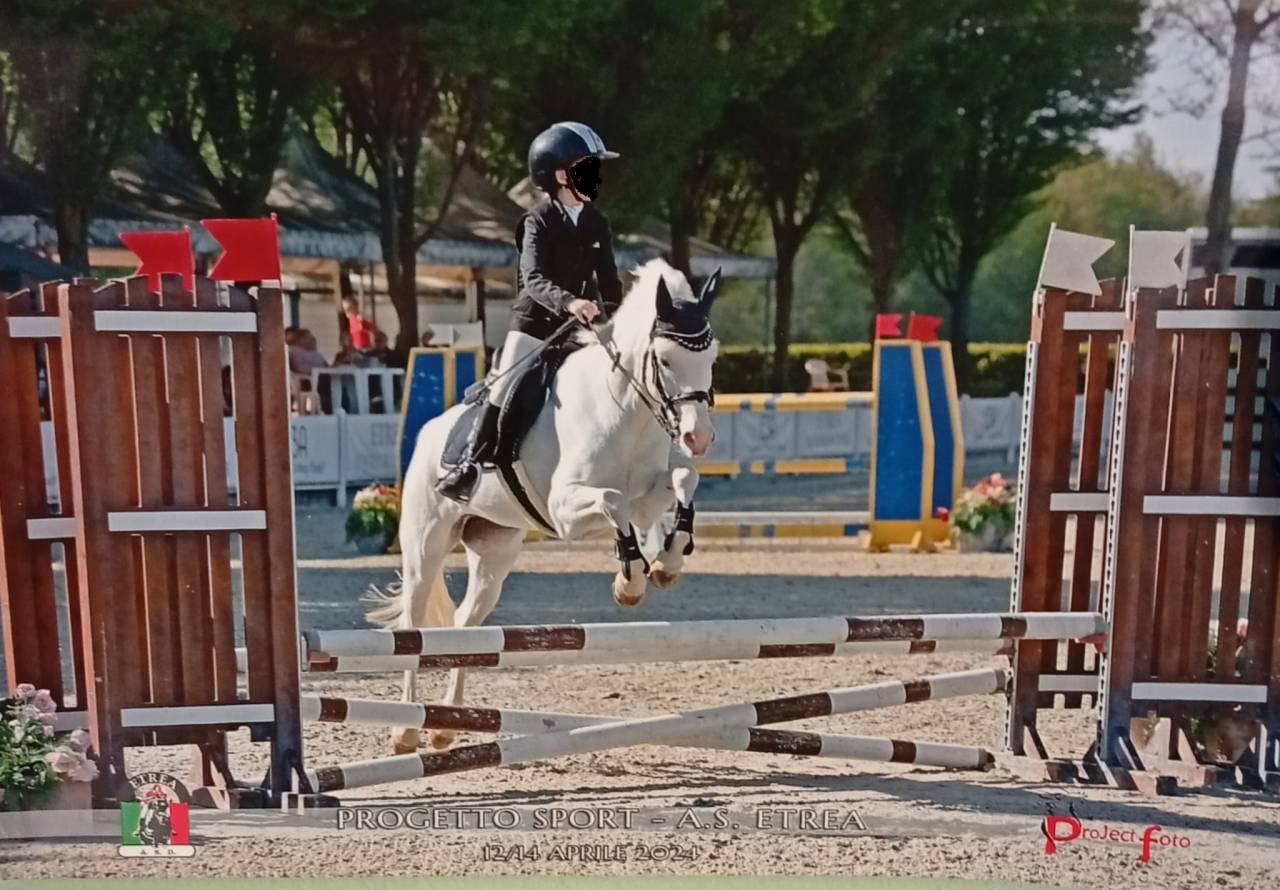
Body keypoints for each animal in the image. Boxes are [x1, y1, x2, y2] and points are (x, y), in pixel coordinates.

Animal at [369, 259, 721, 752]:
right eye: (666, 359)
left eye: (712, 359)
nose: (698, 437)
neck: (624, 410)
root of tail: (428, 434)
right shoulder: (565, 509)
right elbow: (612, 501)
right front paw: (629, 582)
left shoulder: (648, 499)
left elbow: (685, 479)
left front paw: (668, 563)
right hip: (425, 546)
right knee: (412, 624)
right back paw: (405, 730)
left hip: (493, 552)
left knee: (464, 623)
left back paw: (444, 726)